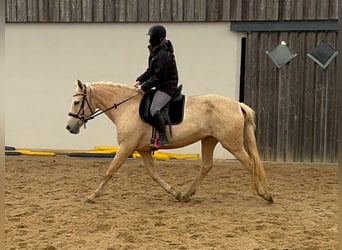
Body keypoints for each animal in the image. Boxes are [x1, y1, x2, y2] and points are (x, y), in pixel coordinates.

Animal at [67, 80, 274, 203]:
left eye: (77, 102)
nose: (69, 127)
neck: (127, 108)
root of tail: (237, 104)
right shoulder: (142, 150)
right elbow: (153, 174)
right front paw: (174, 192)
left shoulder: (126, 147)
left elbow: (110, 171)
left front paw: (92, 196)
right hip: (209, 140)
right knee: (206, 166)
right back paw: (186, 194)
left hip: (232, 144)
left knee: (250, 164)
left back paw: (264, 194)